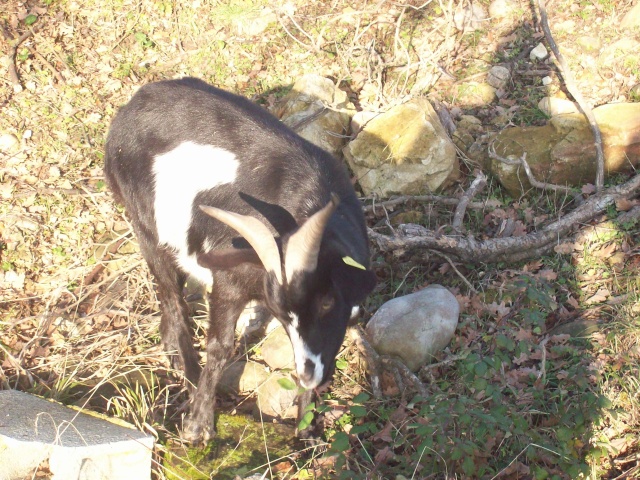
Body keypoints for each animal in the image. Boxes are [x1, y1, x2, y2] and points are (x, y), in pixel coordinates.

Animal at [104, 78, 376, 442]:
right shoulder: (230, 279)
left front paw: (308, 431)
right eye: (282, 313)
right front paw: (198, 425)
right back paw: (190, 375)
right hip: (144, 223)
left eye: (327, 301)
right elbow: (220, 346)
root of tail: (130, 107)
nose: (307, 375)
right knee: (170, 292)